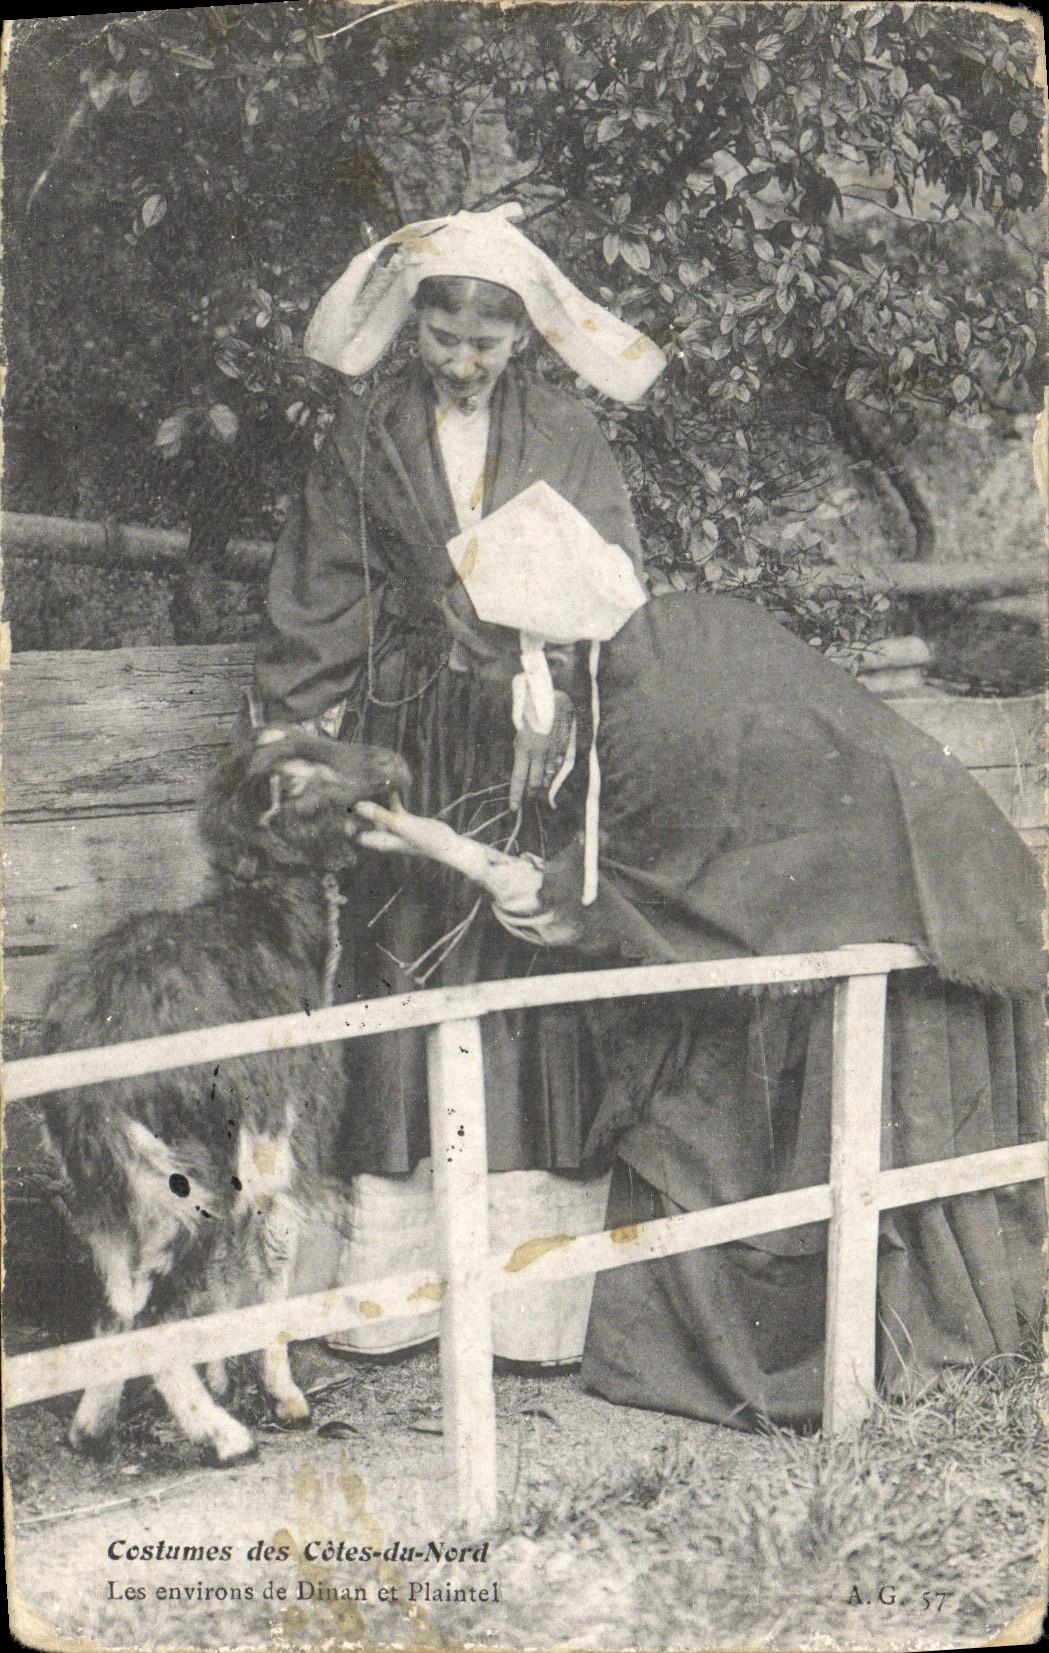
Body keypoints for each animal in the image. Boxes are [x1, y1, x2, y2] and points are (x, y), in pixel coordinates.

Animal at [38, 731, 410, 1466]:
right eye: (302, 771)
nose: (396, 763)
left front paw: (221, 1377)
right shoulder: (282, 1141)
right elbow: (271, 1262)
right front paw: (281, 1396)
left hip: (105, 1188)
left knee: (118, 1302)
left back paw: (93, 1427)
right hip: (187, 1175)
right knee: (150, 1311)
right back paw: (221, 1436)